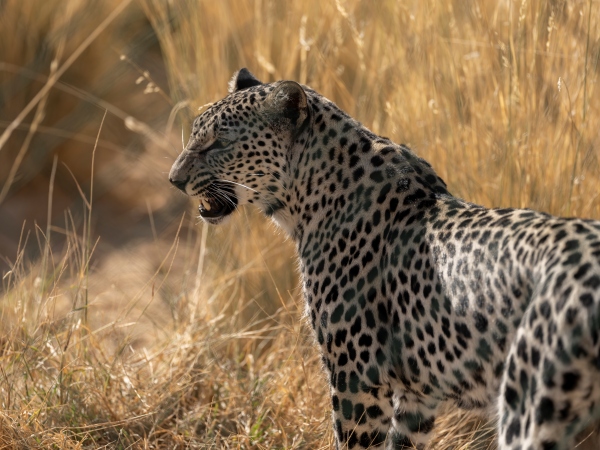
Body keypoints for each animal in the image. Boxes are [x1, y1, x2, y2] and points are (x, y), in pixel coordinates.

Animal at [168, 67, 600, 450]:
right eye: (196, 136)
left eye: (218, 143)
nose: (174, 179)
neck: (306, 198)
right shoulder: (417, 396)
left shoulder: (357, 381)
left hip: (530, 412)